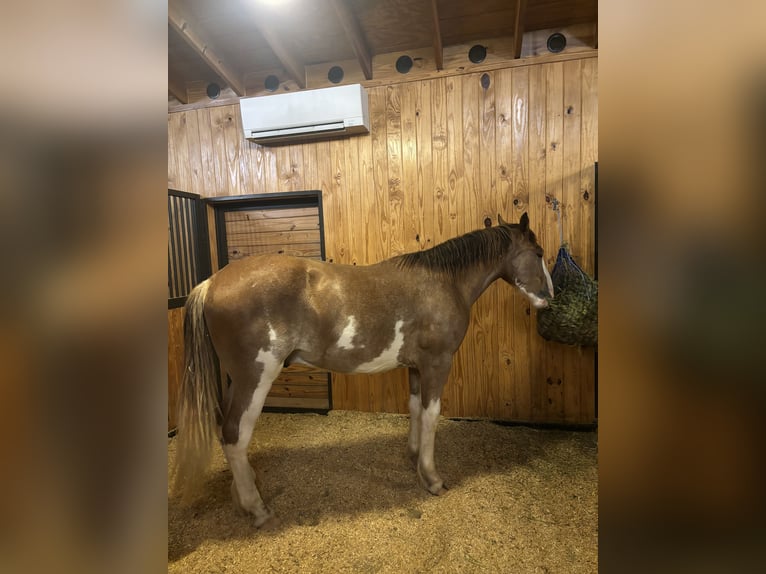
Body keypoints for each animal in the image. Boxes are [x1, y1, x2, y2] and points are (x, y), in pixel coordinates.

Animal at [173, 212, 554, 527]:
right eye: (538, 253)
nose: (549, 297)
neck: (442, 282)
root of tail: (210, 283)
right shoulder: (437, 362)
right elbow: (431, 416)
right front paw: (432, 479)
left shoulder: (416, 367)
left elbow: (415, 410)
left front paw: (414, 459)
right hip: (255, 377)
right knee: (235, 434)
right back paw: (256, 508)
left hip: (237, 380)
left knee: (226, 428)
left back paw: (242, 495)